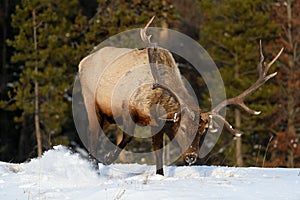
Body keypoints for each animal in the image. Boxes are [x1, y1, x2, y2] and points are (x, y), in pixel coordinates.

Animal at [78, 18, 284, 176]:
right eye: (184, 128)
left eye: (203, 132)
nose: (191, 157)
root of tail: (83, 62)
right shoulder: (126, 107)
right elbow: (128, 136)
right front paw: (108, 158)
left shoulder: (160, 124)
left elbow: (158, 153)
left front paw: (160, 175)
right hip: (91, 102)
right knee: (91, 137)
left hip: (106, 116)